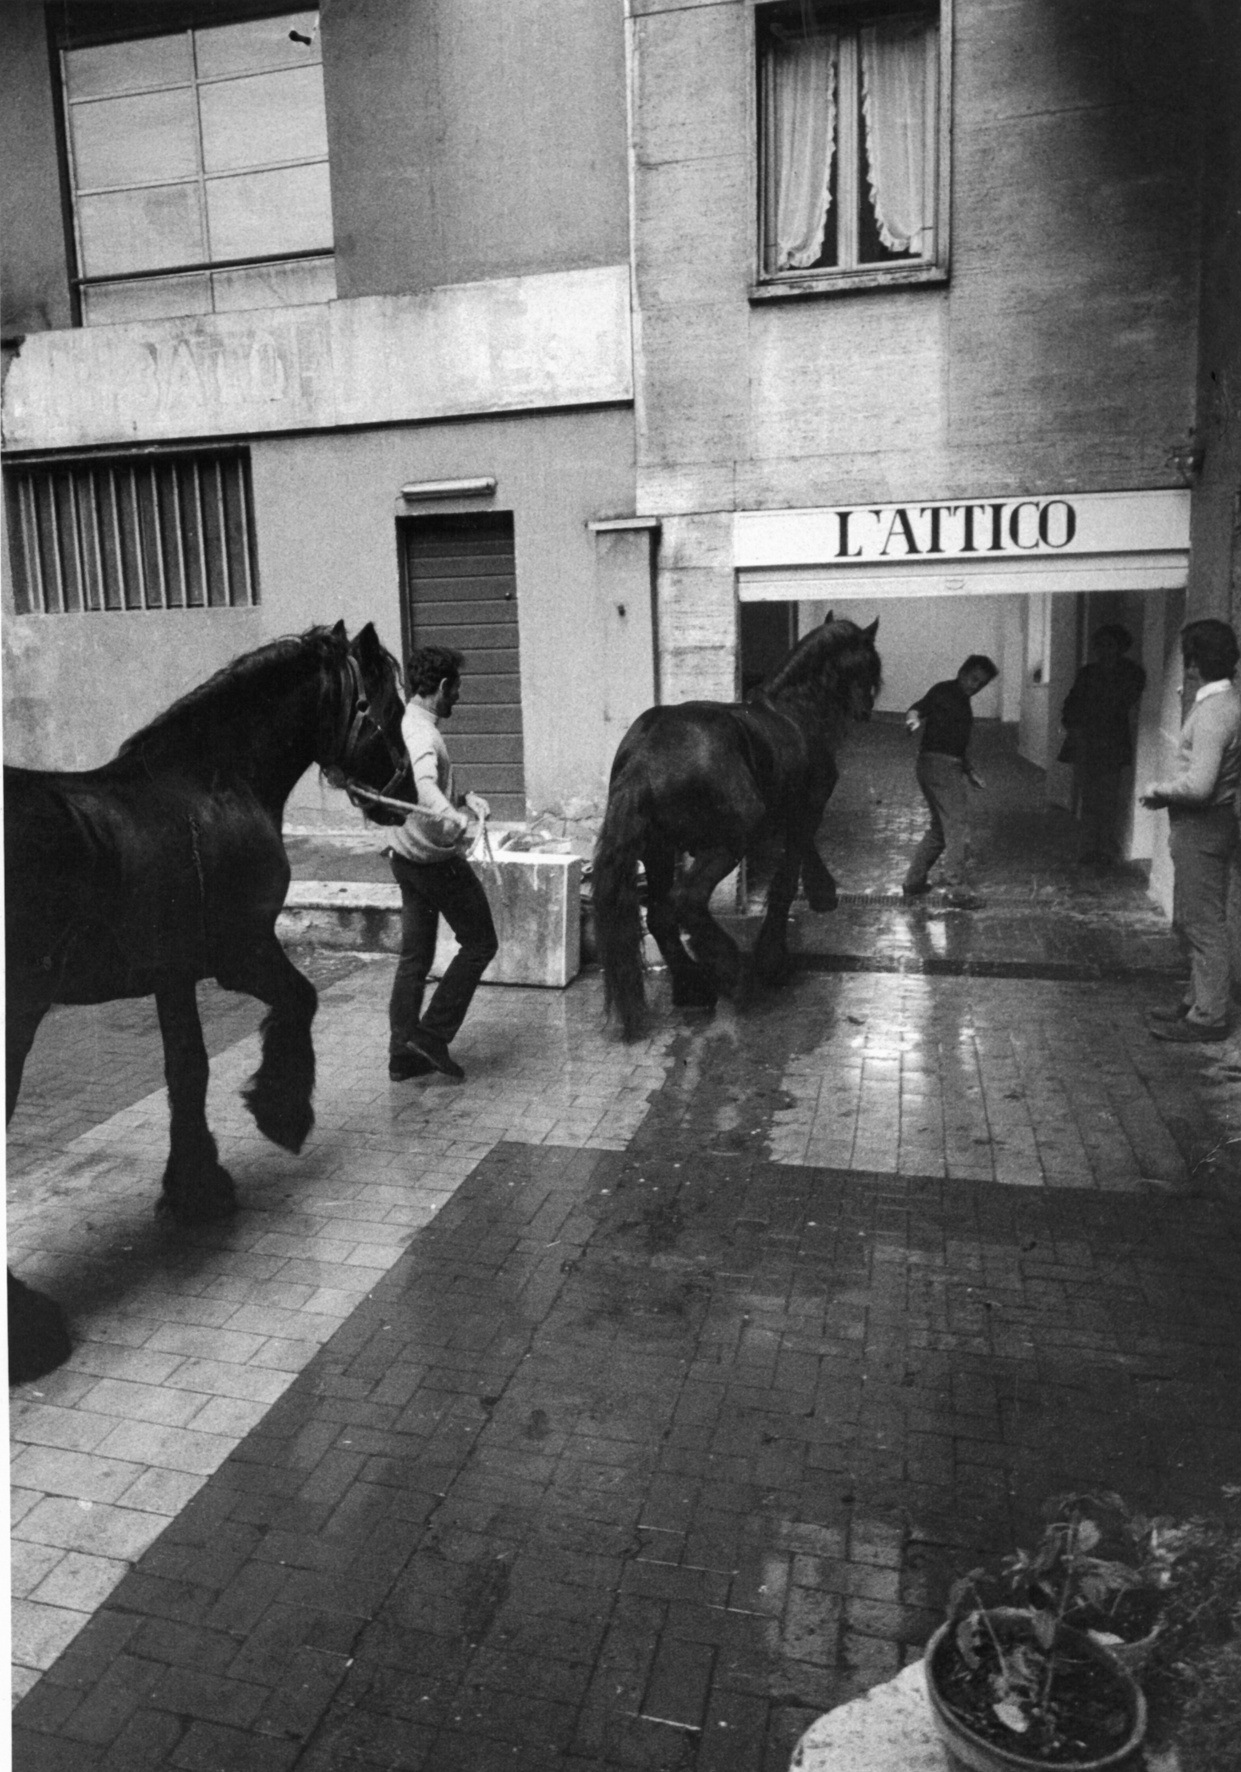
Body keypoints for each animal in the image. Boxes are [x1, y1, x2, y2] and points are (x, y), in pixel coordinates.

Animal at [7, 623, 409, 1382]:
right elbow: (301, 1002)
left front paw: (197, 1188)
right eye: (387, 708)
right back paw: (31, 1333)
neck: (213, 780)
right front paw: (281, 1111)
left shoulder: (173, 973)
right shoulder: (241, 953)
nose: (403, 792)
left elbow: (187, 1070)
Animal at [592, 620, 875, 1034]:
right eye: (868, 666)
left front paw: (822, 892)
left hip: (658, 849)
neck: (794, 711)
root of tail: (644, 756)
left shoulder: (794, 817)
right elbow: (784, 883)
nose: (865, 711)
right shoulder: (804, 813)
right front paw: (774, 959)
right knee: (687, 899)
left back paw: (692, 986)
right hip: (727, 843)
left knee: (660, 914)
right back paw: (729, 972)